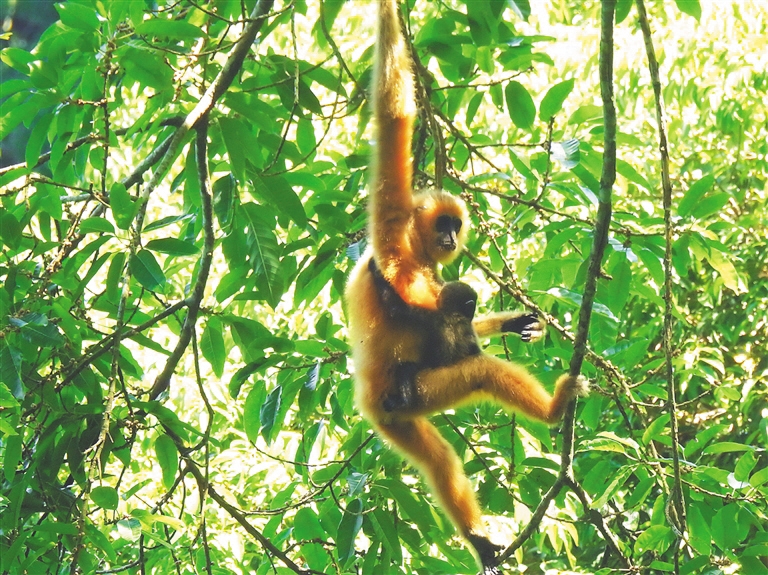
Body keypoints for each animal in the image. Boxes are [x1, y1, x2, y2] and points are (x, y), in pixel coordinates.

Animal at [343, 0, 589, 570]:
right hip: (414, 392)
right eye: (444, 225)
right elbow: (394, 117)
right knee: (475, 366)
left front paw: (514, 321)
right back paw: (553, 410)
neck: (413, 246)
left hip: (401, 416)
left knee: (438, 461)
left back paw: (477, 537)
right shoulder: (393, 229)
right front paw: (387, 17)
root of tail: (370, 398)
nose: (453, 238)